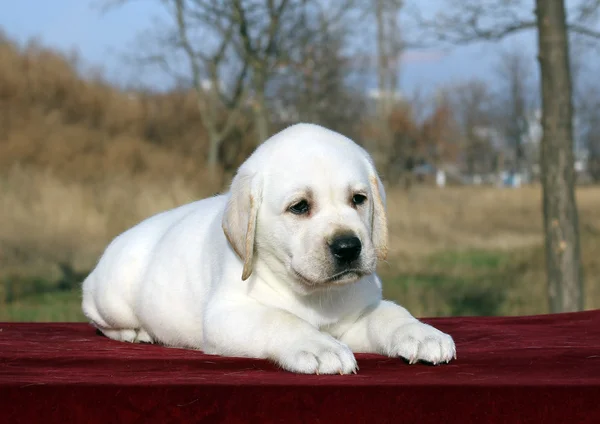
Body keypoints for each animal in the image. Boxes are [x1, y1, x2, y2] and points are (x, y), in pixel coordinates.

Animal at [81, 123, 454, 374]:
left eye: (359, 199)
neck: (316, 295)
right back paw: (136, 331)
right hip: (110, 298)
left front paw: (421, 333)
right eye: (300, 207)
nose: (348, 246)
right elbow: (280, 319)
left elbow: (390, 313)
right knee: (100, 319)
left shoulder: (356, 316)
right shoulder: (227, 316)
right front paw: (318, 345)